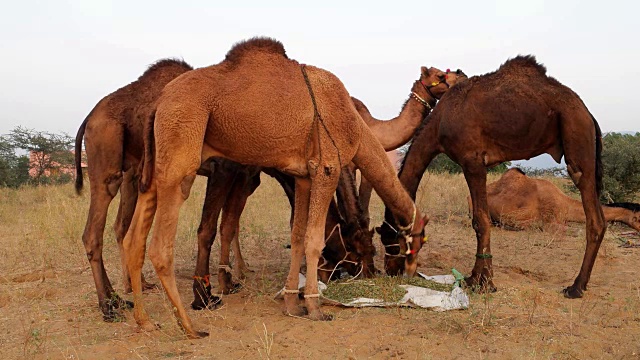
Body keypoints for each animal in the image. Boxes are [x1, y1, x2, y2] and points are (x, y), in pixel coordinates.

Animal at [74, 57, 192, 320]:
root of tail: (88, 118)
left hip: (130, 169)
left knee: (118, 226)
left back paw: (121, 295)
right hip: (106, 153)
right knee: (93, 232)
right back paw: (107, 305)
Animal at [122, 37, 428, 338]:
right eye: (420, 239)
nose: (409, 270)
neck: (355, 124)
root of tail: (159, 102)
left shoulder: (303, 176)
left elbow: (297, 237)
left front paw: (293, 304)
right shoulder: (327, 167)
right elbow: (314, 240)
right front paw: (315, 308)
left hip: (158, 161)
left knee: (134, 238)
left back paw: (145, 321)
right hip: (181, 150)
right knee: (160, 247)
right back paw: (190, 326)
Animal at [382, 55, 608, 298]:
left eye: (388, 237)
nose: (390, 270)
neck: (440, 123)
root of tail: (589, 115)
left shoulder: (472, 161)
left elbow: (480, 221)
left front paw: (484, 282)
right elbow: (481, 219)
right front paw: (475, 278)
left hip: (577, 135)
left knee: (593, 214)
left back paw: (576, 287)